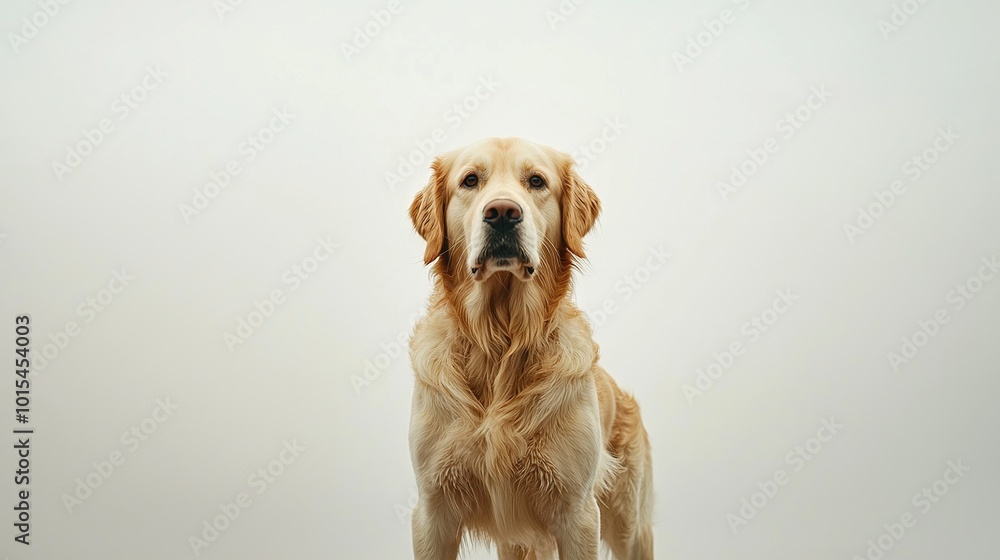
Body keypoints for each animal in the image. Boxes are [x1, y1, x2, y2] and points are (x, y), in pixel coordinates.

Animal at [408, 137, 656, 560]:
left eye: (536, 181)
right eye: (470, 180)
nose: (502, 213)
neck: (501, 343)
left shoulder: (577, 513)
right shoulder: (432, 510)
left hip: (629, 524)